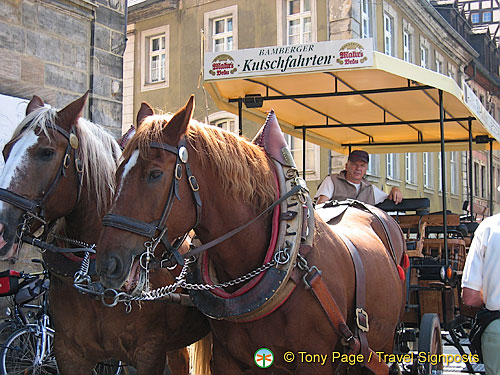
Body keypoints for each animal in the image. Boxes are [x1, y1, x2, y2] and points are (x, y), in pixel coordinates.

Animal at [0, 94, 209, 375]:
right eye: (5, 151)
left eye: (47, 152)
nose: (0, 228)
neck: (94, 279)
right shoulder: (69, 354)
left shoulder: (149, 353)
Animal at [97, 97, 406, 375]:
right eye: (117, 171)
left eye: (155, 174)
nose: (108, 263)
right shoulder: (227, 361)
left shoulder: (313, 363)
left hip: (381, 349)